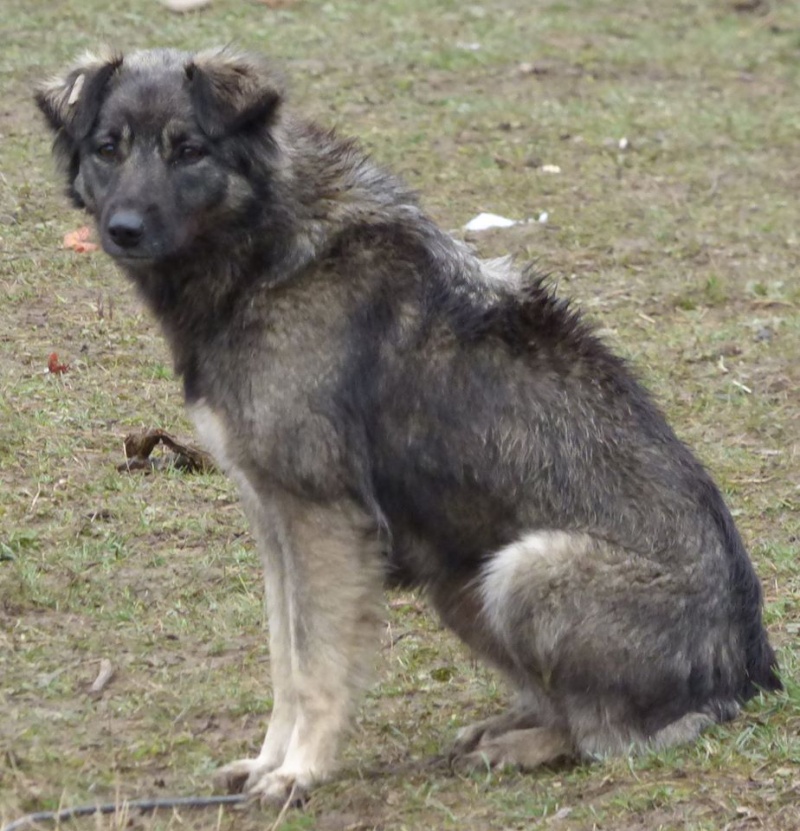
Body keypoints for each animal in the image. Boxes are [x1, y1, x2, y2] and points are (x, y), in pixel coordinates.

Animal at [37, 47, 780, 808]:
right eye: (108, 148)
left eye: (187, 150)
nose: (123, 228)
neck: (266, 250)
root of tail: (750, 675)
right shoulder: (273, 520)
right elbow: (284, 660)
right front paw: (268, 763)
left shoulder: (322, 520)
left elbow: (315, 666)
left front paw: (299, 771)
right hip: (460, 580)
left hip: (524, 569)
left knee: (608, 734)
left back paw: (528, 745)